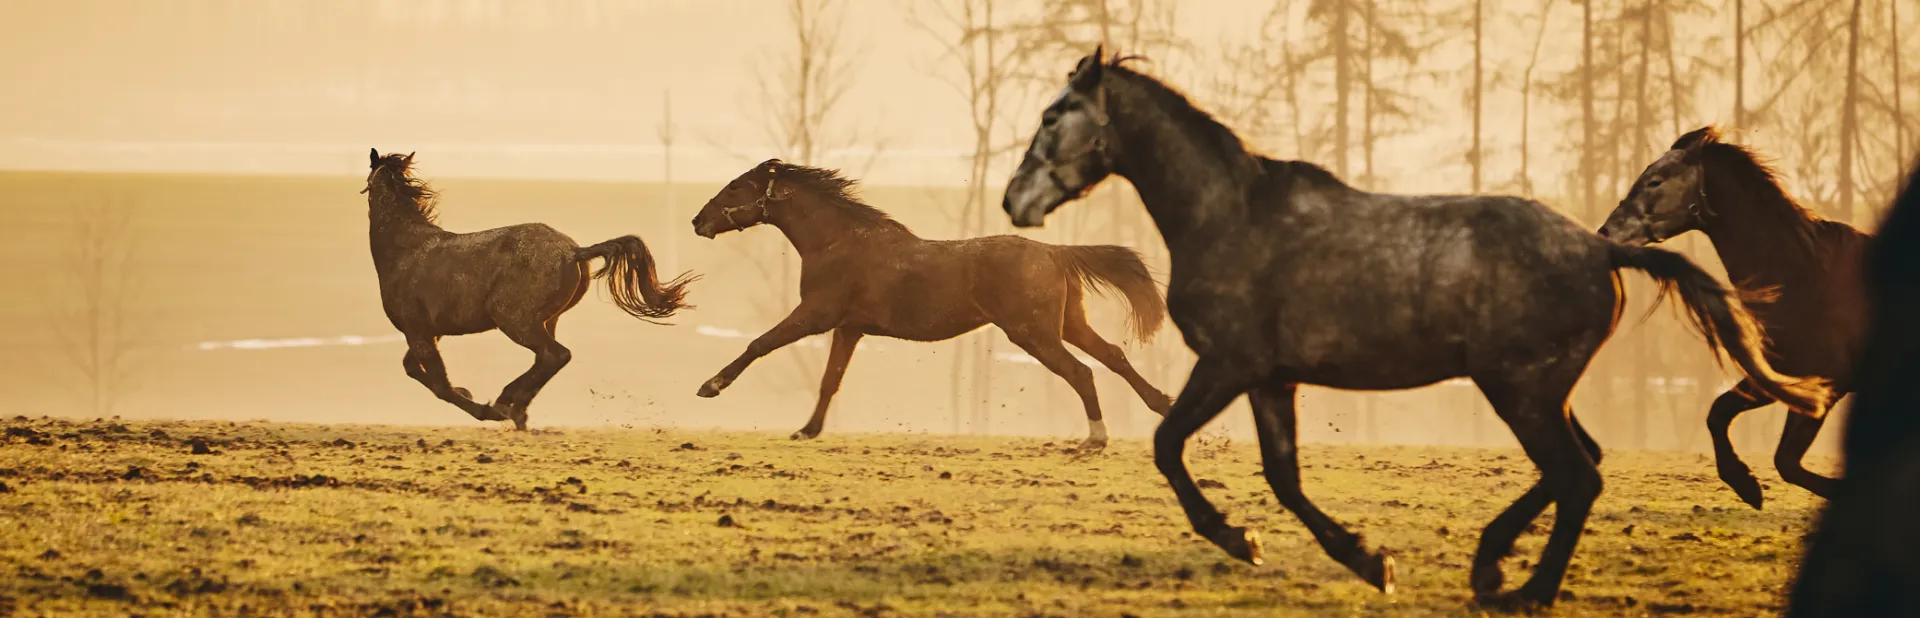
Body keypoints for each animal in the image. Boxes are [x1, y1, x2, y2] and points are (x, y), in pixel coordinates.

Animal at [363, 149, 695, 430]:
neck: (406, 248)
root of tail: (573, 252)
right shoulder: (430, 331)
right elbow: (412, 368)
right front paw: (468, 392)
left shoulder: (417, 330)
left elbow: (439, 384)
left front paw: (482, 408)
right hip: (545, 320)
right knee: (546, 359)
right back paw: (515, 405)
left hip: (516, 321)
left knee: (555, 355)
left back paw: (509, 405)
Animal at [688, 159, 1172, 451]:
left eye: (735, 187)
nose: (697, 221)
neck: (837, 242)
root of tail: (1055, 253)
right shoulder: (849, 328)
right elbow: (829, 381)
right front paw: (808, 430)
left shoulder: (816, 316)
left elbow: (759, 344)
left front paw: (711, 385)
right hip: (1068, 325)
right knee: (1113, 356)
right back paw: (1161, 405)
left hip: (1033, 333)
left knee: (1082, 371)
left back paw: (1095, 438)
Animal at [999, 46, 1829, 609]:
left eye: (1052, 115)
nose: (1013, 200)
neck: (1231, 215)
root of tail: (1601, 248)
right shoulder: (1271, 379)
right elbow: (1283, 477)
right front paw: (1367, 559)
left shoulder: (1230, 365)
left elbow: (1170, 445)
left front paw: (1247, 540)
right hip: (1540, 390)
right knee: (1580, 466)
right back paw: (1495, 564)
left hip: (1519, 390)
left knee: (1578, 475)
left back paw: (1523, 589)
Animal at [1599, 127, 1870, 509]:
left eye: (1655, 181)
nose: (1606, 232)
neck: (1807, 275)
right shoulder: (1782, 376)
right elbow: (1719, 413)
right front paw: (1745, 483)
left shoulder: (1825, 386)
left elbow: (1786, 461)